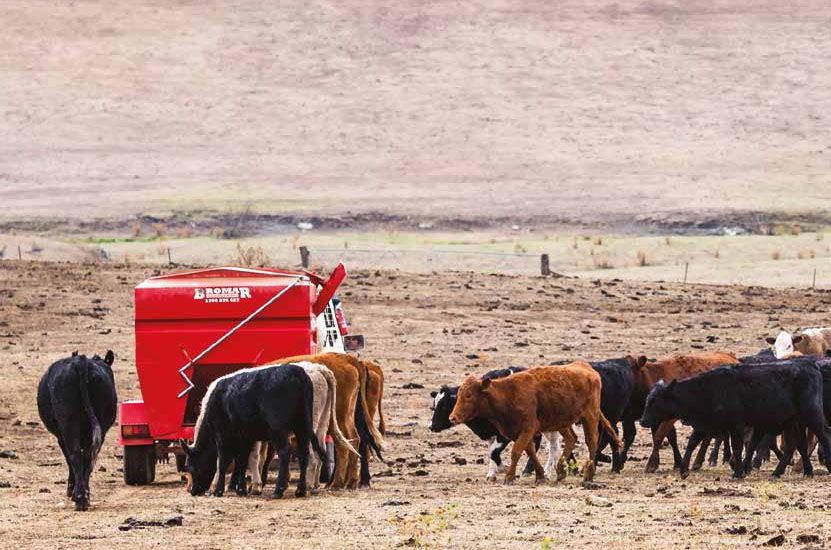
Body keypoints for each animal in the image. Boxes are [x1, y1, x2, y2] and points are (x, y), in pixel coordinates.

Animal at [37, 354, 117, 512]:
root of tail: (81, 360)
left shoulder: (61, 436)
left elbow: (68, 458)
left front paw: (71, 489)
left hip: (68, 423)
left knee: (75, 455)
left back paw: (79, 497)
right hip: (97, 425)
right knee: (88, 455)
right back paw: (84, 497)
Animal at [182, 364, 324, 502]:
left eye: (189, 466)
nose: (193, 491)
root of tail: (296, 371)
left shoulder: (221, 434)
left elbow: (223, 461)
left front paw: (218, 490)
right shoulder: (245, 437)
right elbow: (242, 460)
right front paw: (241, 489)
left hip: (279, 429)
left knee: (284, 452)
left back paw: (278, 491)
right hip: (302, 426)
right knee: (303, 453)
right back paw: (300, 490)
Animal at [428, 370, 560, 484]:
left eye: (444, 406)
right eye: (434, 405)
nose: (431, 426)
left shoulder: (504, 435)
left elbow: (493, 452)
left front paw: (503, 468)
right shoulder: (491, 435)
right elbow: (491, 452)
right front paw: (492, 474)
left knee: (552, 447)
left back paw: (544, 472)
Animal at [448, 364, 616, 486]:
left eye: (468, 395)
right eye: (458, 396)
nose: (452, 418)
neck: (508, 395)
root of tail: (586, 367)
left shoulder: (528, 428)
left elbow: (516, 451)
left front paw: (509, 477)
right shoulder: (518, 430)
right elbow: (530, 451)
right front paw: (541, 476)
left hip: (590, 416)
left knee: (591, 442)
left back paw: (588, 475)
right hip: (562, 422)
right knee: (571, 439)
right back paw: (561, 471)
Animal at [644, 360, 831, 480]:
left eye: (655, 401)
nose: (643, 421)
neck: (707, 389)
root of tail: (810, 365)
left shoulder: (736, 425)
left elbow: (737, 447)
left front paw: (738, 473)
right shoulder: (705, 424)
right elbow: (692, 443)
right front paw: (684, 469)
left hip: (811, 415)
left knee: (823, 436)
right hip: (793, 420)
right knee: (796, 444)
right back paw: (793, 472)